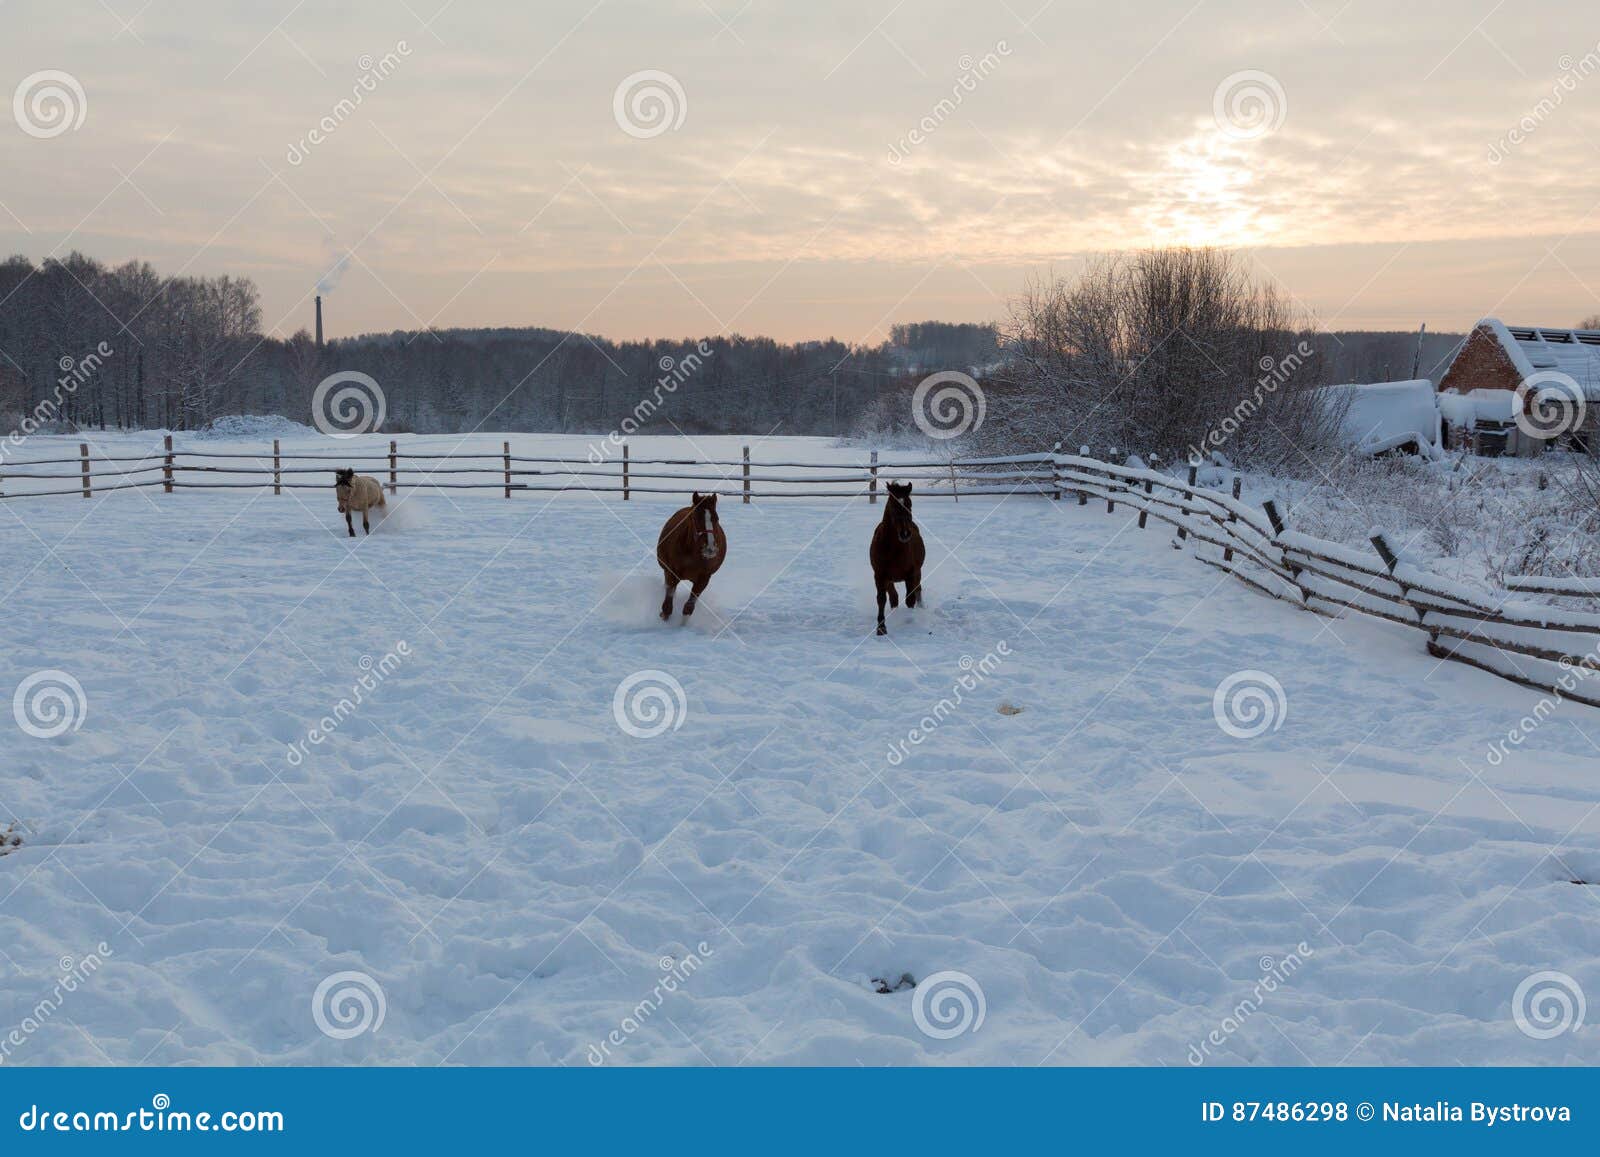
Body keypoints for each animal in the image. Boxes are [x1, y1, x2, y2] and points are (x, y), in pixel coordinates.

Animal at [657, 492, 727, 622]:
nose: (710, 548)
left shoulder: (704, 578)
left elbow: (688, 608)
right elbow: (667, 607)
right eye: (696, 518)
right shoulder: (671, 573)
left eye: (716, 518)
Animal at [870, 481, 925, 635]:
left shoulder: (911, 574)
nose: (905, 533)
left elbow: (910, 599)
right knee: (893, 597)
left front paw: (909, 620)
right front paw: (881, 628)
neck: (892, 548)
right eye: (893, 506)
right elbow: (882, 599)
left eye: (909, 504)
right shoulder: (880, 575)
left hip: (917, 573)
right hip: (889, 579)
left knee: (918, 590)